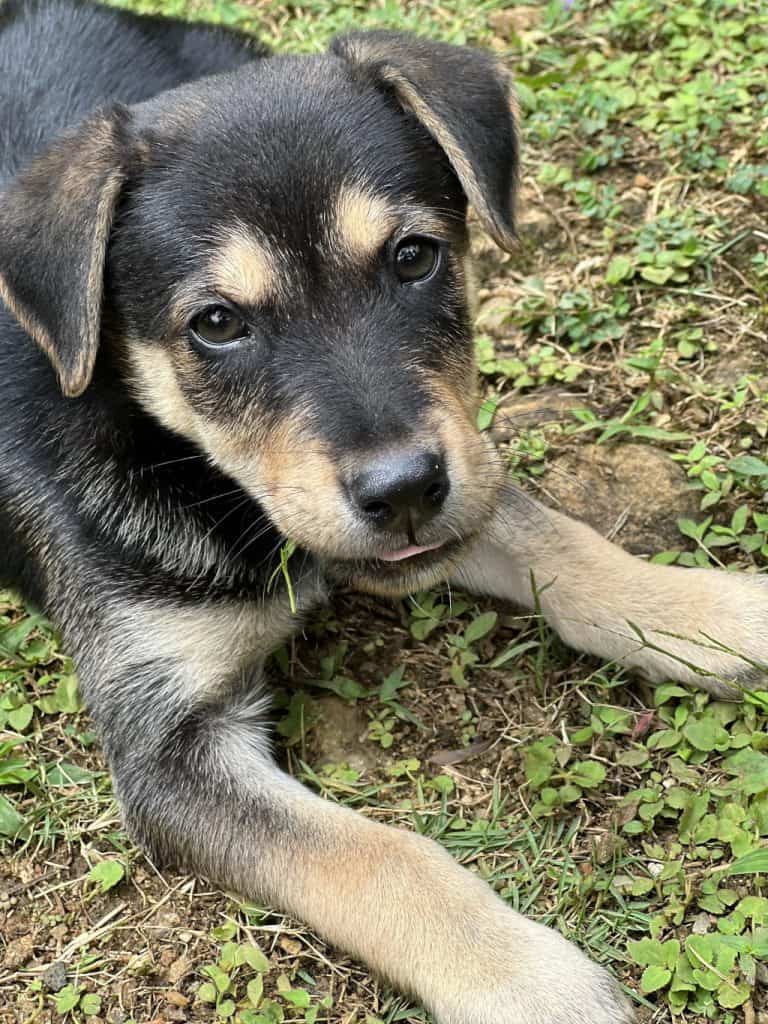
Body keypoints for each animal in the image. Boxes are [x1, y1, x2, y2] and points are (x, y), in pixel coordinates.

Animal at [1, 4, 768, 1019]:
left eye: (414, 257)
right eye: (216, 324)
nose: (403, 490)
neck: (190, 467)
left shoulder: (465, 477)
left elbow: (560, 540)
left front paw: (713, 614)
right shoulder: (167, 751)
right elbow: (374, 856)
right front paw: (531, 980)